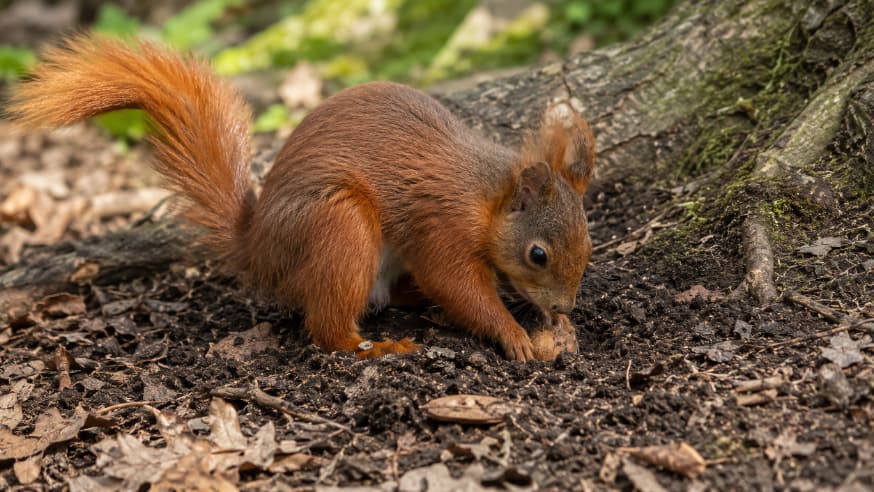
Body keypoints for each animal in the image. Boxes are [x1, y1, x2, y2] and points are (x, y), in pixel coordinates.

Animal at [8, 35, 596, 361]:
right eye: (537, 254)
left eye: (588, 248)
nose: (565, 308)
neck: (485, 195)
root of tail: (256, 249)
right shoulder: (441, 223)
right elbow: (457, 283)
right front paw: (513, 333)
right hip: (339, 224)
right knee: (329, 327)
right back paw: (375, 347)